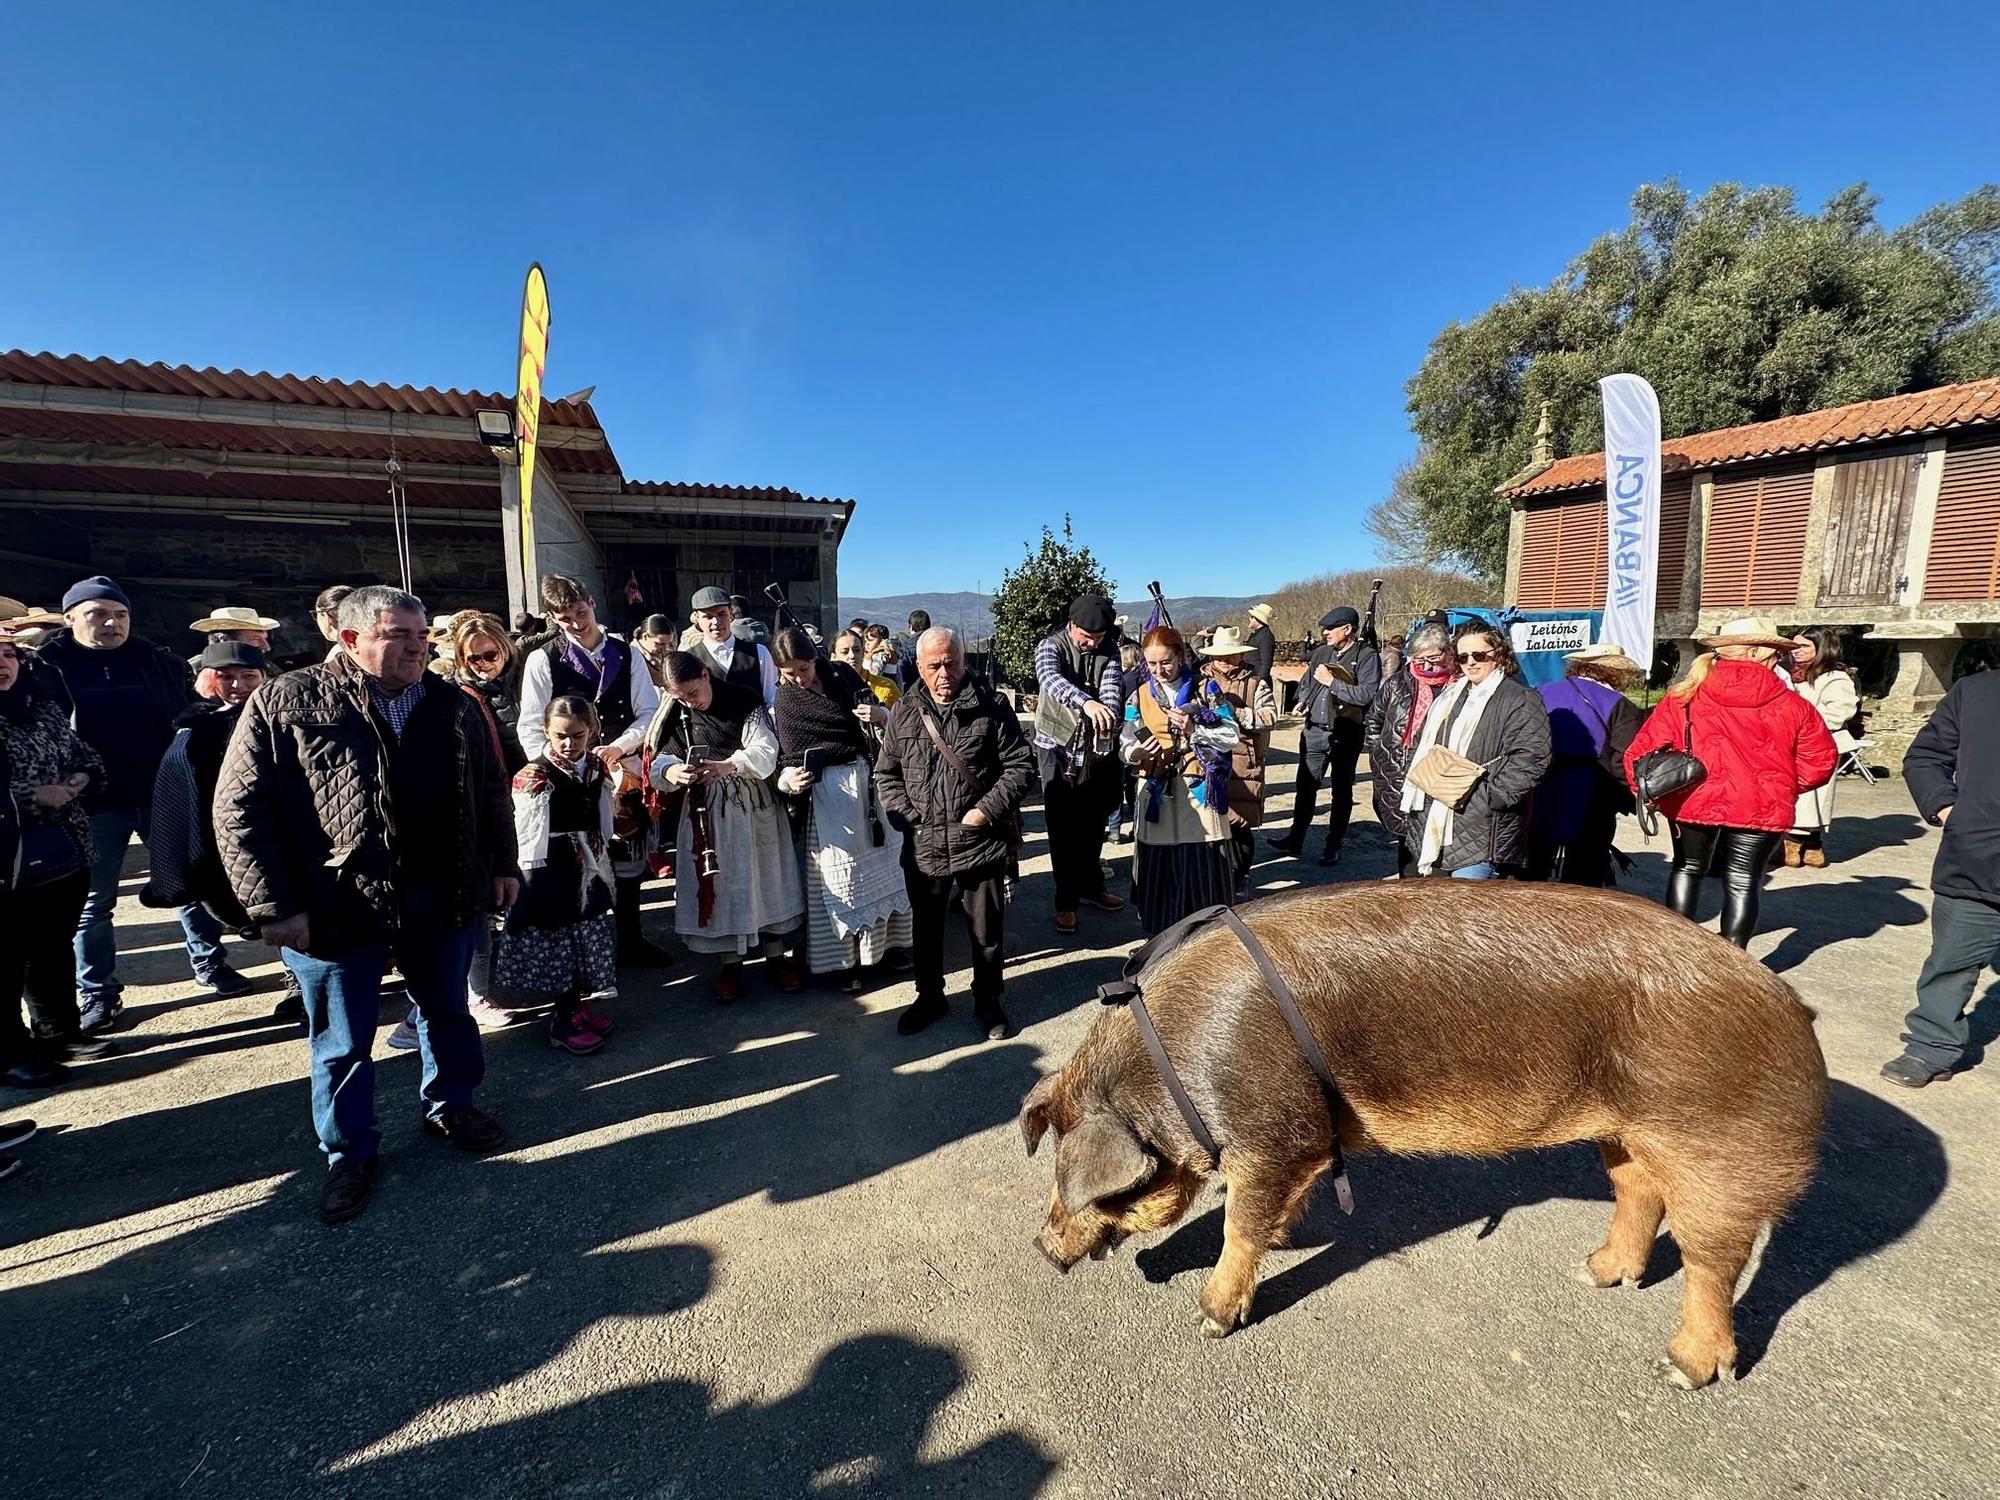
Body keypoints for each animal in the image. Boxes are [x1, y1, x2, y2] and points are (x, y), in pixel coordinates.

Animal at [1032, 888, 1832, 1392]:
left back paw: (1680, 1370)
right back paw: (1595, 1273)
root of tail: (1793, 1008)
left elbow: (1241, 1225)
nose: (1041, 1247)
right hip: (1624, 1131)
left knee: (1715, 1258)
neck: (1175, 1073)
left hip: (1713, 1143)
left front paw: (1209, 1322)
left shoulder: (1278, 1133)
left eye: (1090, 1186)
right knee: (1638, 1190)